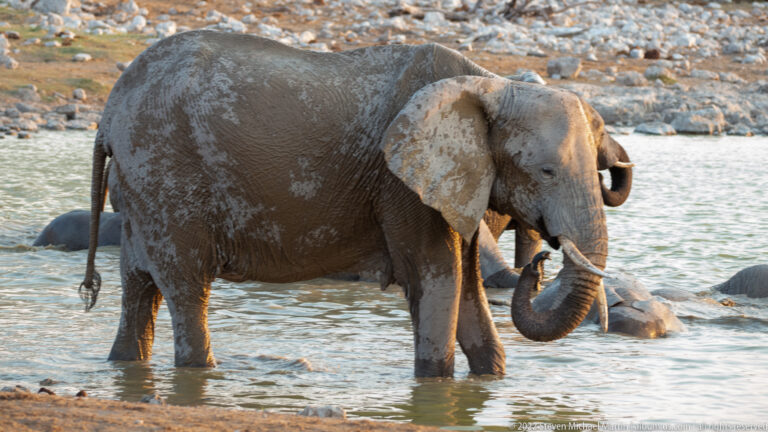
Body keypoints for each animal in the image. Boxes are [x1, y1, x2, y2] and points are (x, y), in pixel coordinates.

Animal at [78, 31, 631, 377]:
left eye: (599, 173)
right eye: (546, 172)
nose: (538, 263)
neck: (492, 84)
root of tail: (109, 111)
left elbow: (469, 289)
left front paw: (490, 379)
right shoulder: (401, 184)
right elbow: (437, 280)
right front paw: (435, 389)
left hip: (141, 184)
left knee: (139, 286)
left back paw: (124, 364)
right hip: (165, 173)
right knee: (187, 285)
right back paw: (200, 372)